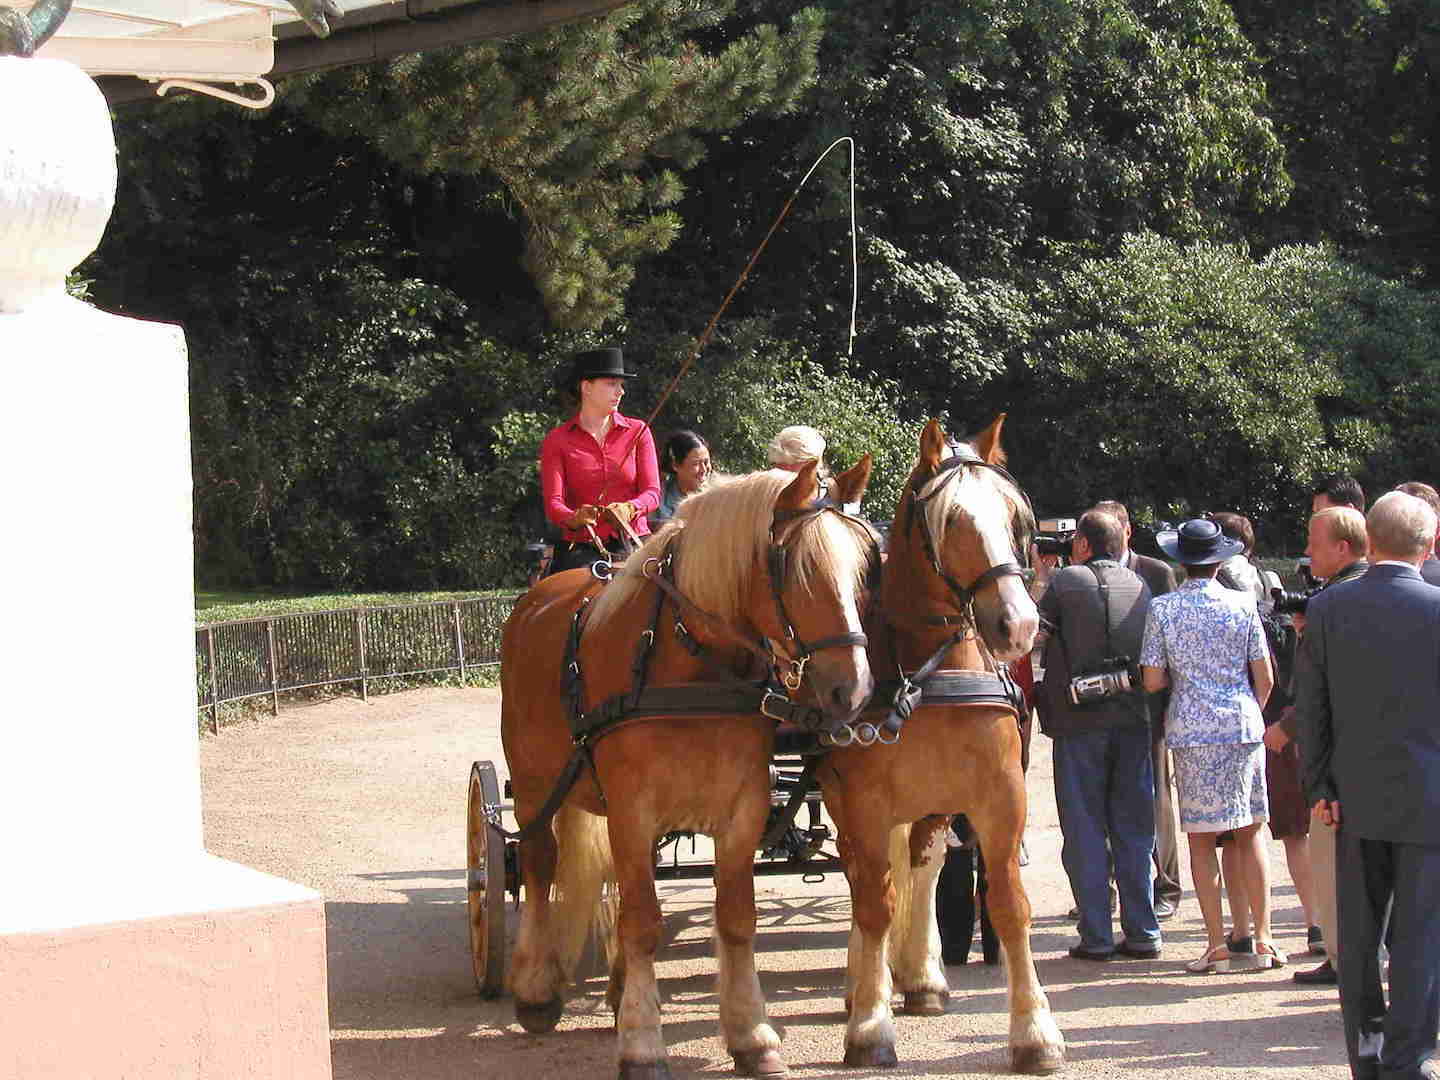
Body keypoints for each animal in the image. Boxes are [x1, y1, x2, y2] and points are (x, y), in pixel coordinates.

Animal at [495, 457, 875, 1080]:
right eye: (798, 568)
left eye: (865, 565)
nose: (855, 689)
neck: (686, 660)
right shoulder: (630, 810)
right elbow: (643, 922)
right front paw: (644, 1044)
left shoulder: (741, 808)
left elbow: (735, 917)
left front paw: (751, 1035)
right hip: (532, 787)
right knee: (538, 865)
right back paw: (535, 988)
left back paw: (617, 988)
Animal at [817, 414, 1065, 1077]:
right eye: (952, 520)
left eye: (1013, 516)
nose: (1019, 625)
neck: (931, 673)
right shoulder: (865, 802)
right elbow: (874, 903)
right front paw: (870, 1024)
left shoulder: (1000, 797)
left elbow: (1009, 904)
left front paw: (1035, 1031)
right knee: (864, 880)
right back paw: (863, 982)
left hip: (934, 802)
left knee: (921, 868)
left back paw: (923, 977)